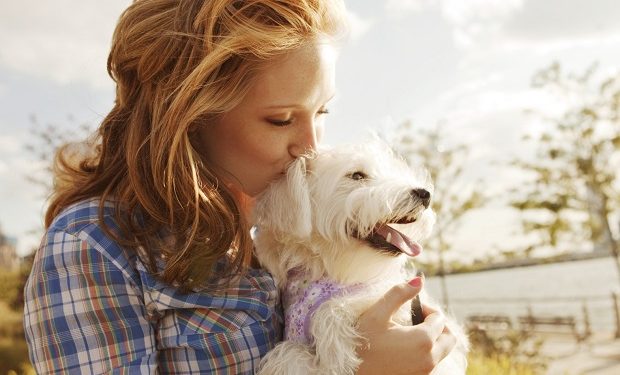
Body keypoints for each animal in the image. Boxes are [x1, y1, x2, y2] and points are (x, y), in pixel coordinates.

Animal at [254, 142, 468, 374]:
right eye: (356, 175)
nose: (425, 193)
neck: (326, 266)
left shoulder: (393, 297)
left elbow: (341, 302)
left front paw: (334, 348)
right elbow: (290, 355)